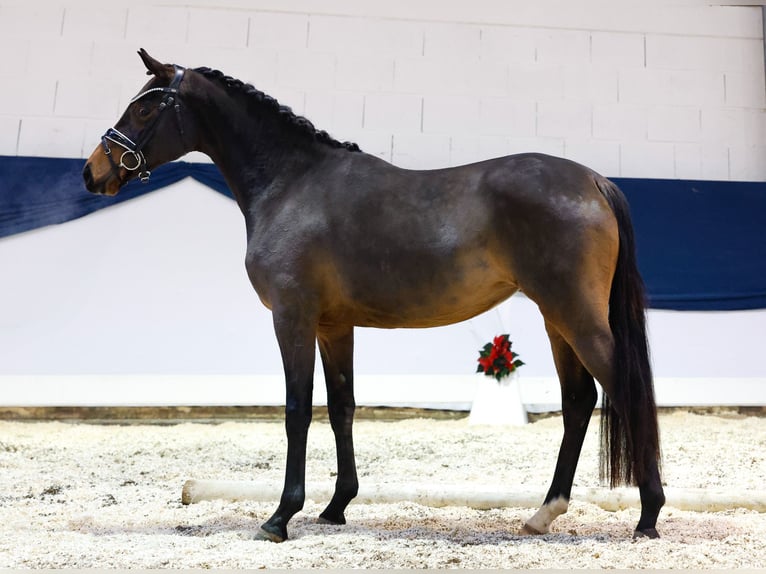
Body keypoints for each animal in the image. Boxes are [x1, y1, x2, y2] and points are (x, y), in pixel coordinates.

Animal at [81, 50, 664, 544]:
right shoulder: (333, 325)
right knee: (579, 400)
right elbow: (342, 406)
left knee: (625, 390)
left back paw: (648, 516)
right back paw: (544, 513)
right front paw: (335, 507)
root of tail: (594, 182)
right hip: (555, 316)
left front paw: (280, 516)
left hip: (575, 314)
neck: (292, 185)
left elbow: (297, 409)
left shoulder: (292, 318)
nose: (93, 171)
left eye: (145, 106)